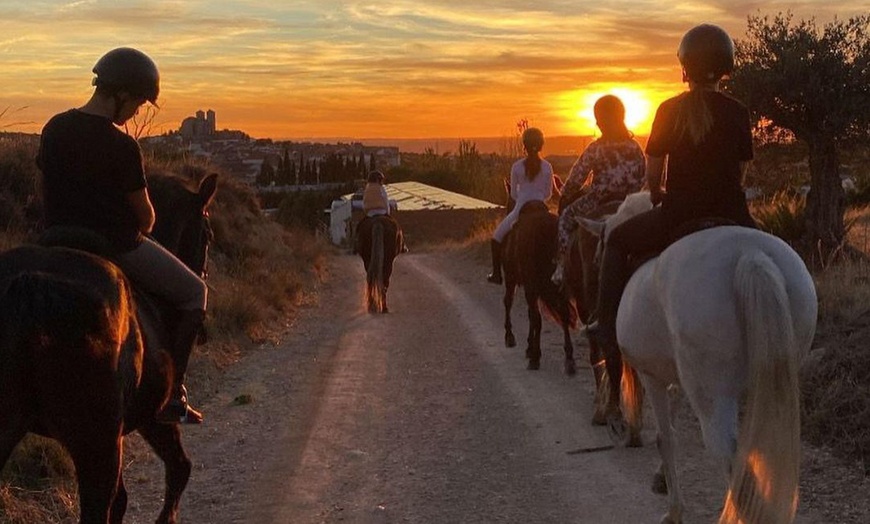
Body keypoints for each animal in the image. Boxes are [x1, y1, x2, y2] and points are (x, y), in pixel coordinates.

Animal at [0, 173, 218, 524]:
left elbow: (125, 499)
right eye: (208, 234)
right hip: (96, 443)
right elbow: (179, 469)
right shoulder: (152, 418)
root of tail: (32, 281)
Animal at [500, 201, 584, 372]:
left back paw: (534, 356)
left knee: (536, 316)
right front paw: (529, 347)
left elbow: (515, 306)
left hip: (527, 284)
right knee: (563, 315)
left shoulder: (517, 281)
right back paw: (569, 359)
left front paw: (518, 342)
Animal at [584, 192, 820, 524]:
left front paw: (674, 510)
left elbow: (666, 438)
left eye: (603, 243)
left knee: (731, 459)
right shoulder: (682, 379)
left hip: (712, 395)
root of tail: (751, 255)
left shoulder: (652, 376)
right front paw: (661, 478)